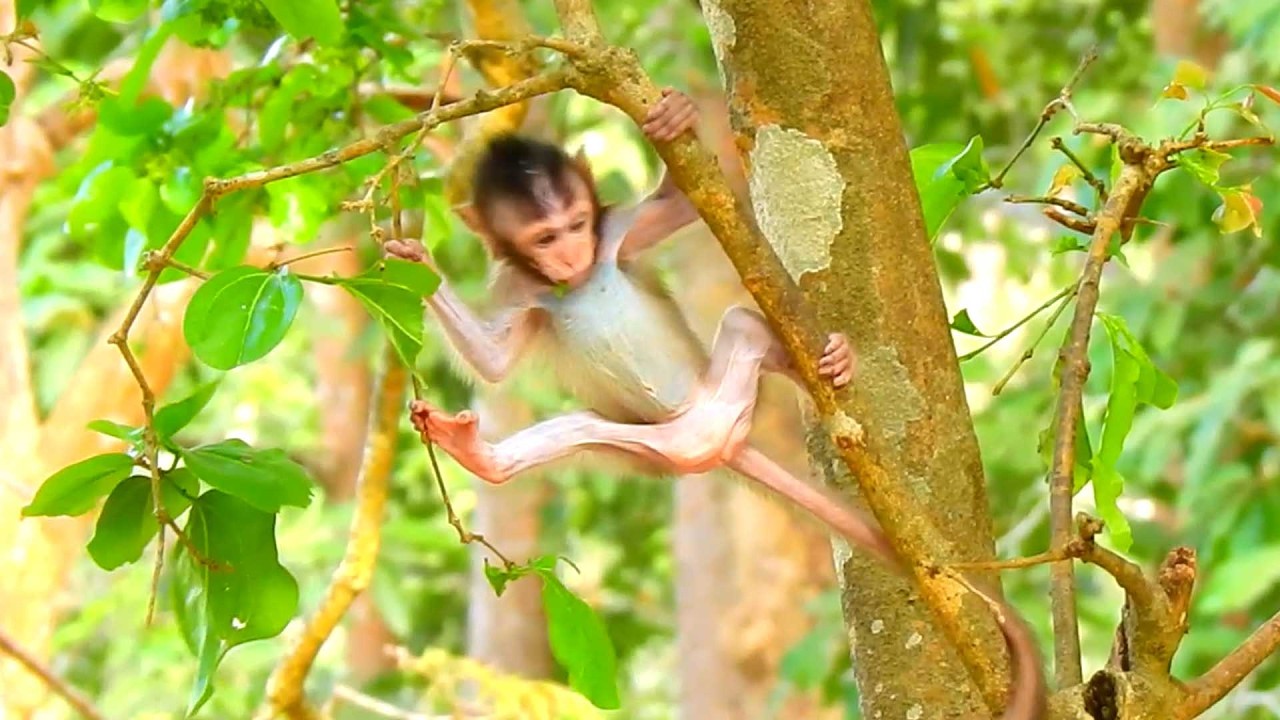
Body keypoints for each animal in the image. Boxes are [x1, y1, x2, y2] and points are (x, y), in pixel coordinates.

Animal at [385, 87, 1045, 719]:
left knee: (746, 324)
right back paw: (480, 456)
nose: (571, 254)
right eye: (544, 237)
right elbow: (493, 362)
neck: (573, 277)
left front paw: (676, 120)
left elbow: (688, 202)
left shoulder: (616, 234)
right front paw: (413, 260)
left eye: (577, 223)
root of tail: (719, 442)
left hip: (728, 384)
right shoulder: (520, 287)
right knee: (579, 430)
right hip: (648, 450)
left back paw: (832, 362)